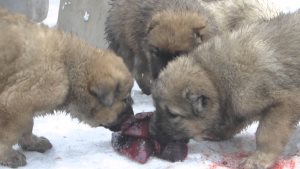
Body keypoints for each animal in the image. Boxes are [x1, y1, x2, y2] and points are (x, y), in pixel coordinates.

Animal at [0, 8, 134, 168]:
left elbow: (28, 123)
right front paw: (7, 155)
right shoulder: (16, 101)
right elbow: (8, 132)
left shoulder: (25, 103)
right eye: (125, 99)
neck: (68, 66)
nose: (133, 117)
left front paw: (32, 142)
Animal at [151, 10, 300, 169]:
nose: (152, 131)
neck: (214, 78)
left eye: (173, 114)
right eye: (156, 107)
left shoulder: (285, 102)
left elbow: (267, 134)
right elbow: (236, 121)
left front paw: (259, 158)